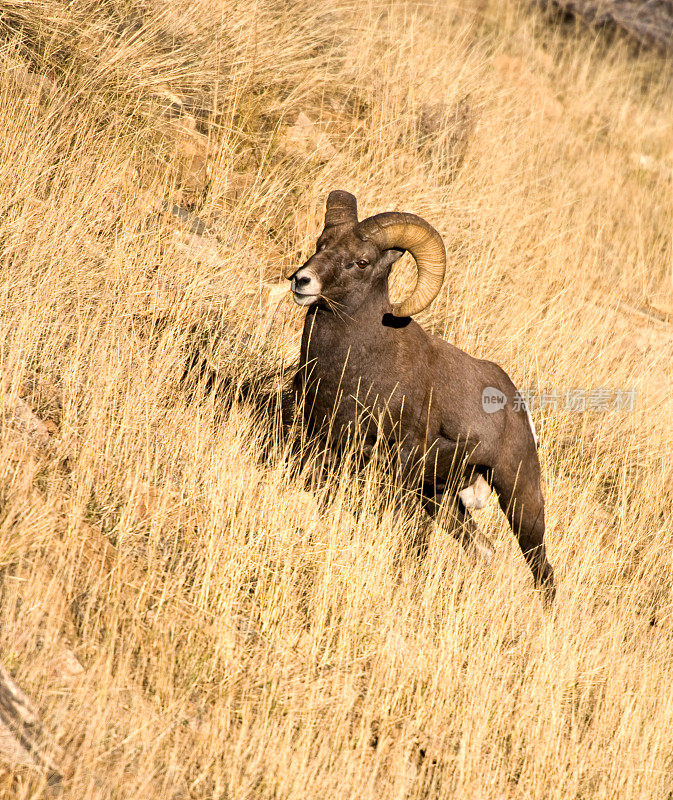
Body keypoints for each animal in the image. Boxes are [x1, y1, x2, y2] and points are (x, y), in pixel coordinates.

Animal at [286, 189, 552, 600]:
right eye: (321, 243)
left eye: (361, 262)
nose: (302, 281)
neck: (355, 362)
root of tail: (518, 409)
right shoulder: (324, 442)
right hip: (442, 499)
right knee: (483, 550)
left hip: (519, 498)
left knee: (542, 570)